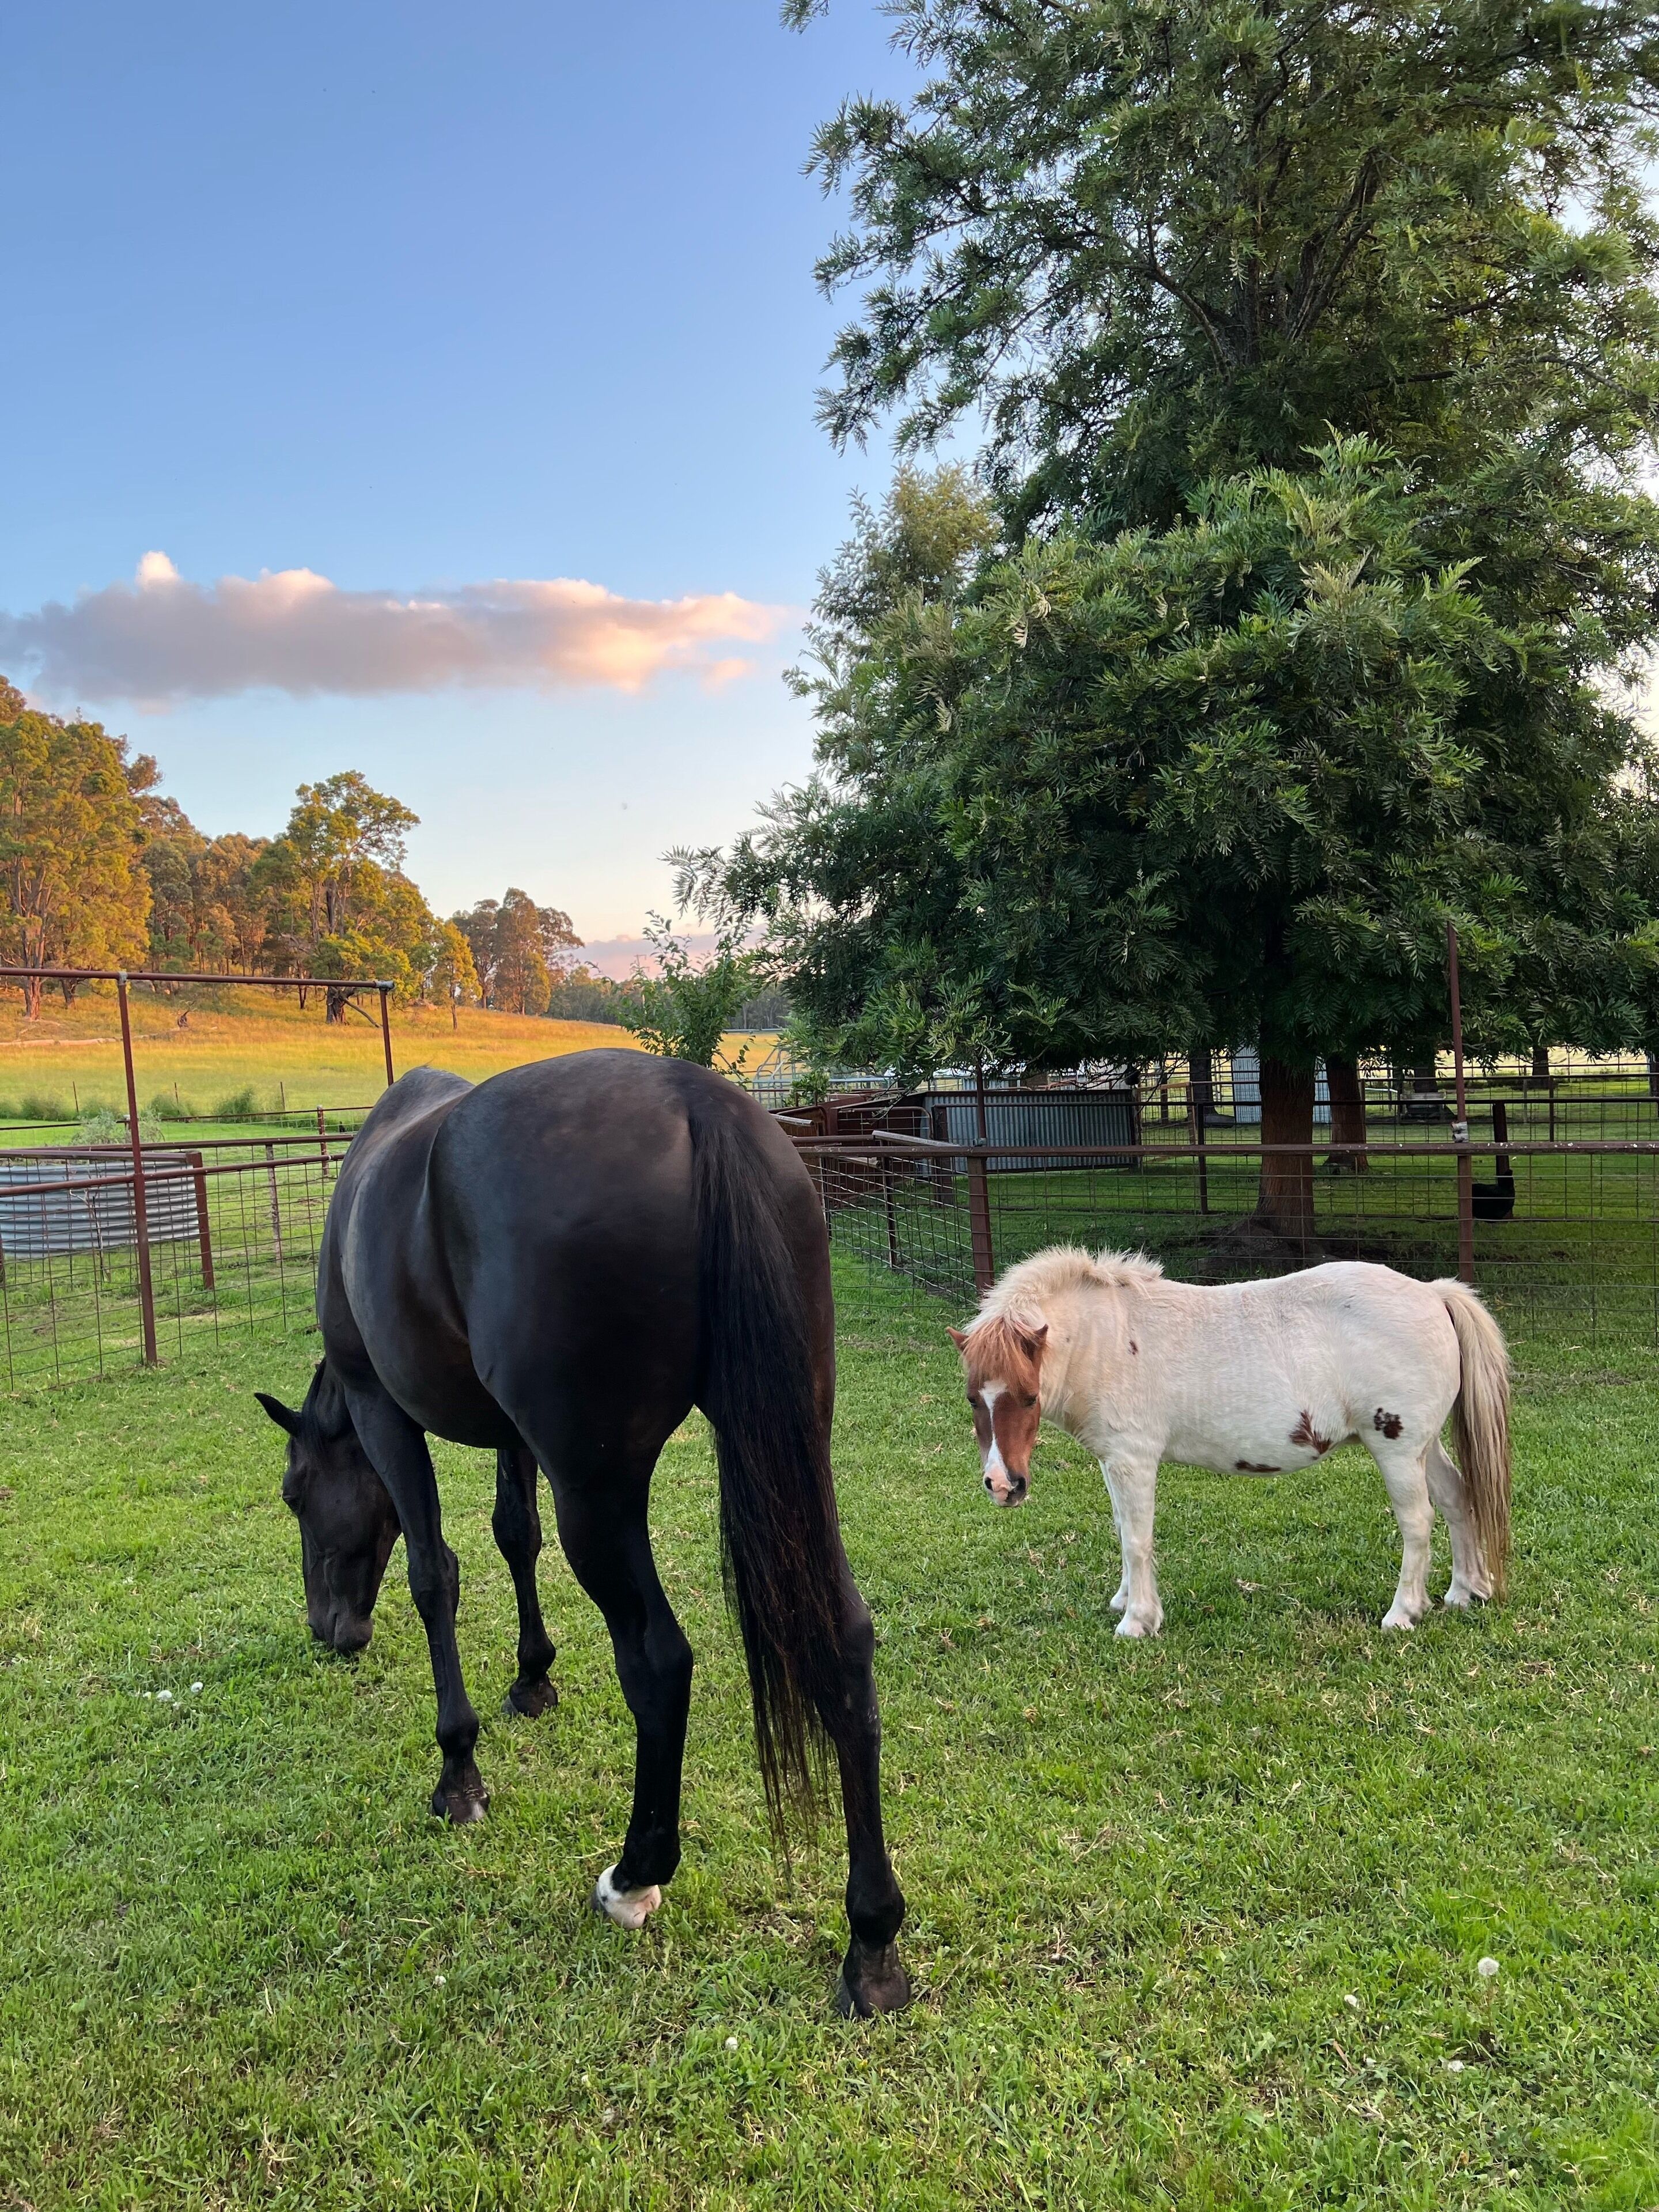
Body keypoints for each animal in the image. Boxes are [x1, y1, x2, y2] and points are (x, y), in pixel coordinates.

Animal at [254, 1051, 909, 2018]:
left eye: (296, 1493)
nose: (328, 1631)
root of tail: (696, 1102)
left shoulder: (384, 1412)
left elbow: (435, 1573)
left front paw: (459, 1772)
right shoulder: (514, 1436)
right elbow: (512, 1536)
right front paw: (533, 1679)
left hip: (599, 1495)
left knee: (659, 1661)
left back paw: (637, 1875)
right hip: (787, 1444)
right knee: (842, 1640)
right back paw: (872, 1940)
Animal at [950, 1247, 1510, 1636]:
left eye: (1028, 1397)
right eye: (974, 1398)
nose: (1004, 1485)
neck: (1106, 1338)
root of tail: (1433, 1293)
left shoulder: (1133, 1460)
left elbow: (1137, 1539)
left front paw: (1137, 1621)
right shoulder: (1114, 1462)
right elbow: (1123, 1530)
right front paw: (1124, 1601)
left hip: (1396, 1450)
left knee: (1418, 1523)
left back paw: (1403, 1613)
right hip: (1424, 1448)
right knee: (1458, 1499)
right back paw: (1465, 1591)